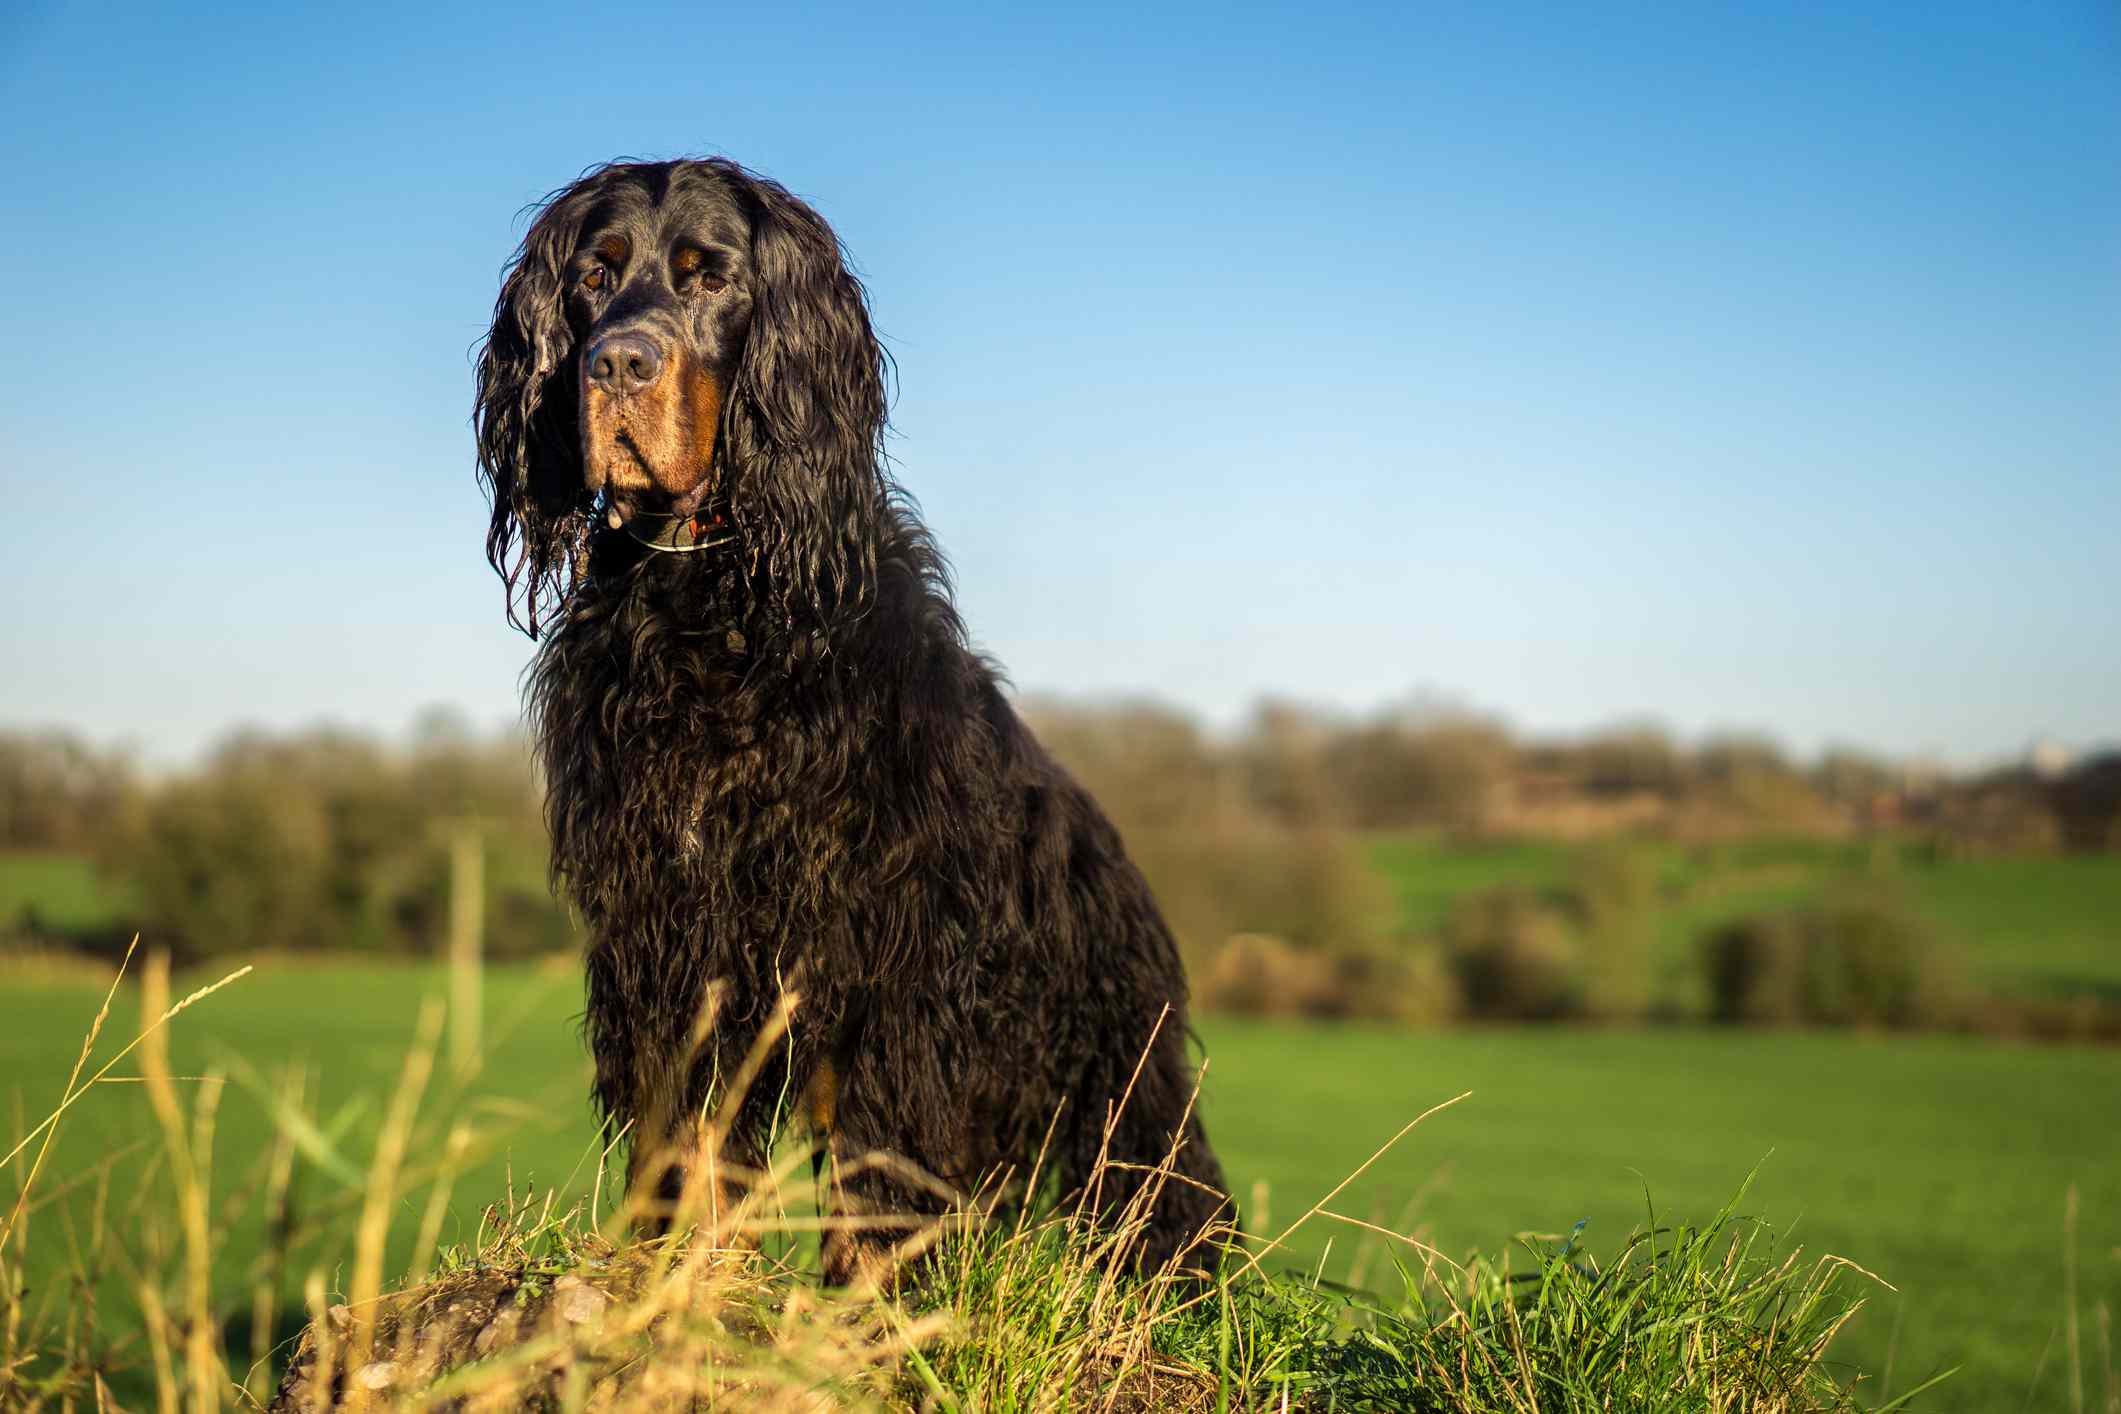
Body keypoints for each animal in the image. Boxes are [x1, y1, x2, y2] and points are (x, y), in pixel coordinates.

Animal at [466, 157, 1230, 1280]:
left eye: (709, 275)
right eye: (594, 276)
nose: (616, 365)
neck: (710, 599)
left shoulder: (892, 955)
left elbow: (883, 1155)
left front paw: (869, 1296)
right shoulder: (673, 933)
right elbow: (691, 1131)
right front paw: (679, 1278)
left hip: (1117, 1072)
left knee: (1160, 1189)